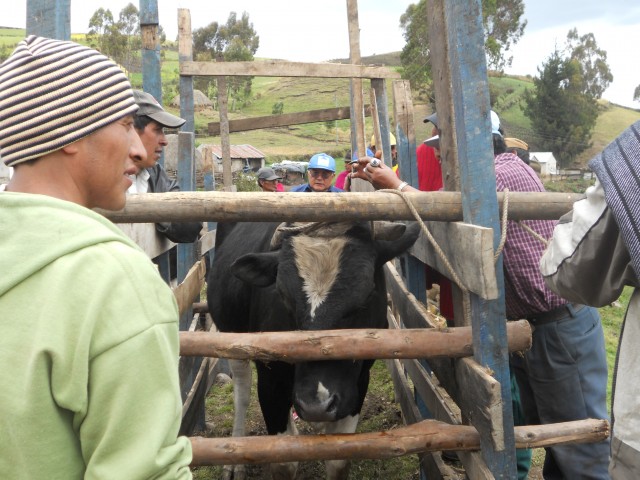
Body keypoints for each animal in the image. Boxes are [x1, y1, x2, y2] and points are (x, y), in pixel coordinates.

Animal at [208, 221, 422, 480]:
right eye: (283, 296)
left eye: (367, 294)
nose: (315, 405)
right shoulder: (271, 380)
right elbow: (284, 463)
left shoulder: (358, 382)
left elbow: (338, 460)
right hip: (231, 336)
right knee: (241, 390)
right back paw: (235, 463)